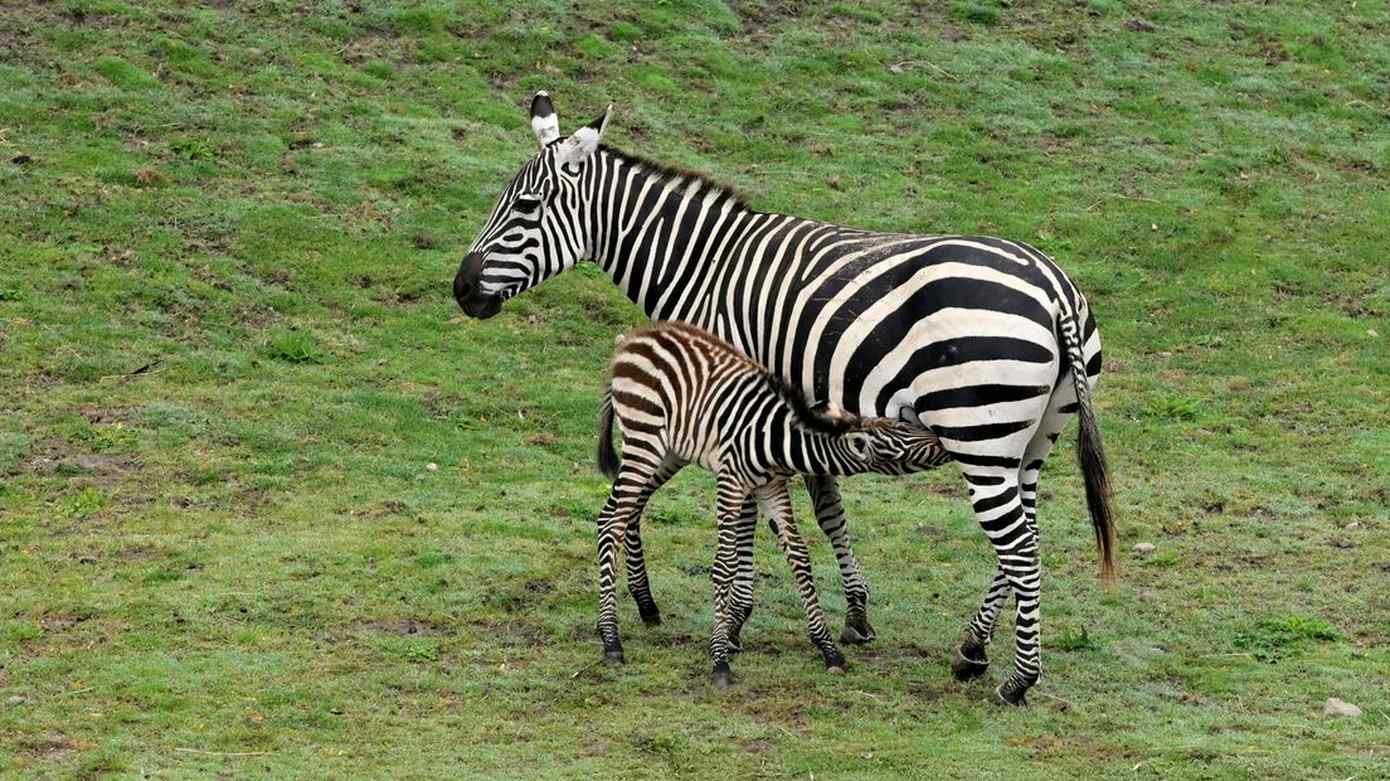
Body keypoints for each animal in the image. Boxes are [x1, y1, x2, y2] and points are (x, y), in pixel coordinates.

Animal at [592, 321, 950, 680]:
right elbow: (725, 565)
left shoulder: (772, 488)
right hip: (644, 440)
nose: (942, 440)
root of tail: (632, 339)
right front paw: (720, 658)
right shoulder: (731, 481)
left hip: (667, 450)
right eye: (902, 434)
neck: (777, 440)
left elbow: (799, 557)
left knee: (614, 513)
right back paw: (612, 641)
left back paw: (624, 616)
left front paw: (828, 649)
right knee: (612, 524)